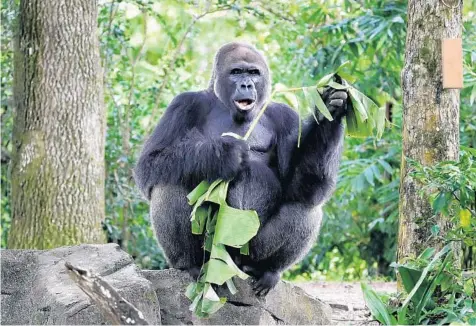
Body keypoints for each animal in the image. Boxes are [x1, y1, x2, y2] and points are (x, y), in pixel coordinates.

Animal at [134, 41, 350, 296]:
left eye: (253, 73)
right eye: (236, 72)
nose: (246, 84)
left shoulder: (286, 117)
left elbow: (302, 186)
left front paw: (331, 108)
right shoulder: (183, 104)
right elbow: (150, 162)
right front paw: (223, 156)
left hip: (248, 252)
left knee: (305, 203)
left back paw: (268, 270)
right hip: (214, 253)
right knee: (169, 181)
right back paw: (189, 264)